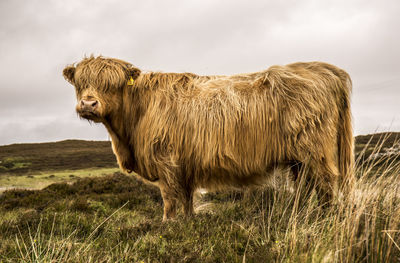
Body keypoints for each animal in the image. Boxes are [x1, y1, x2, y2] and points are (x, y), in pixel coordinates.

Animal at [62, 56, 354, 222]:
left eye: (112, 84)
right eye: (80, 83)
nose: (88, 104)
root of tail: (324, 68)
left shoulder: (166, 160)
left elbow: (169, 197)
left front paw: (167, 226)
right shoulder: (184, 164)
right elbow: (186, 198)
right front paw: (188, 222)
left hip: (316, 151)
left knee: (326, 186)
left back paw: (325, 221)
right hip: (297, 159)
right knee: (305, 188)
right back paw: (297, 216)